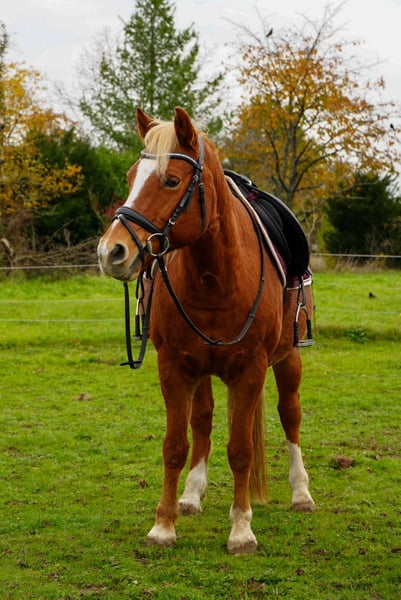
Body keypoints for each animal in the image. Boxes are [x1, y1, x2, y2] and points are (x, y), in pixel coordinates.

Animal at [97, 107, 315, 554]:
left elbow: (241, 449)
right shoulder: (175, 368)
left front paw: (242, 530)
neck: (216, 277)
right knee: (203, 420)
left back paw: (301, 492)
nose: (111, 252)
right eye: (130, 177)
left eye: (171, 180)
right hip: (202, 370)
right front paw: (164, 524)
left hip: (289, 357)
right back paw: (192, 494)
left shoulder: (250, 370)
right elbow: (176, 444)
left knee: (290, 414)